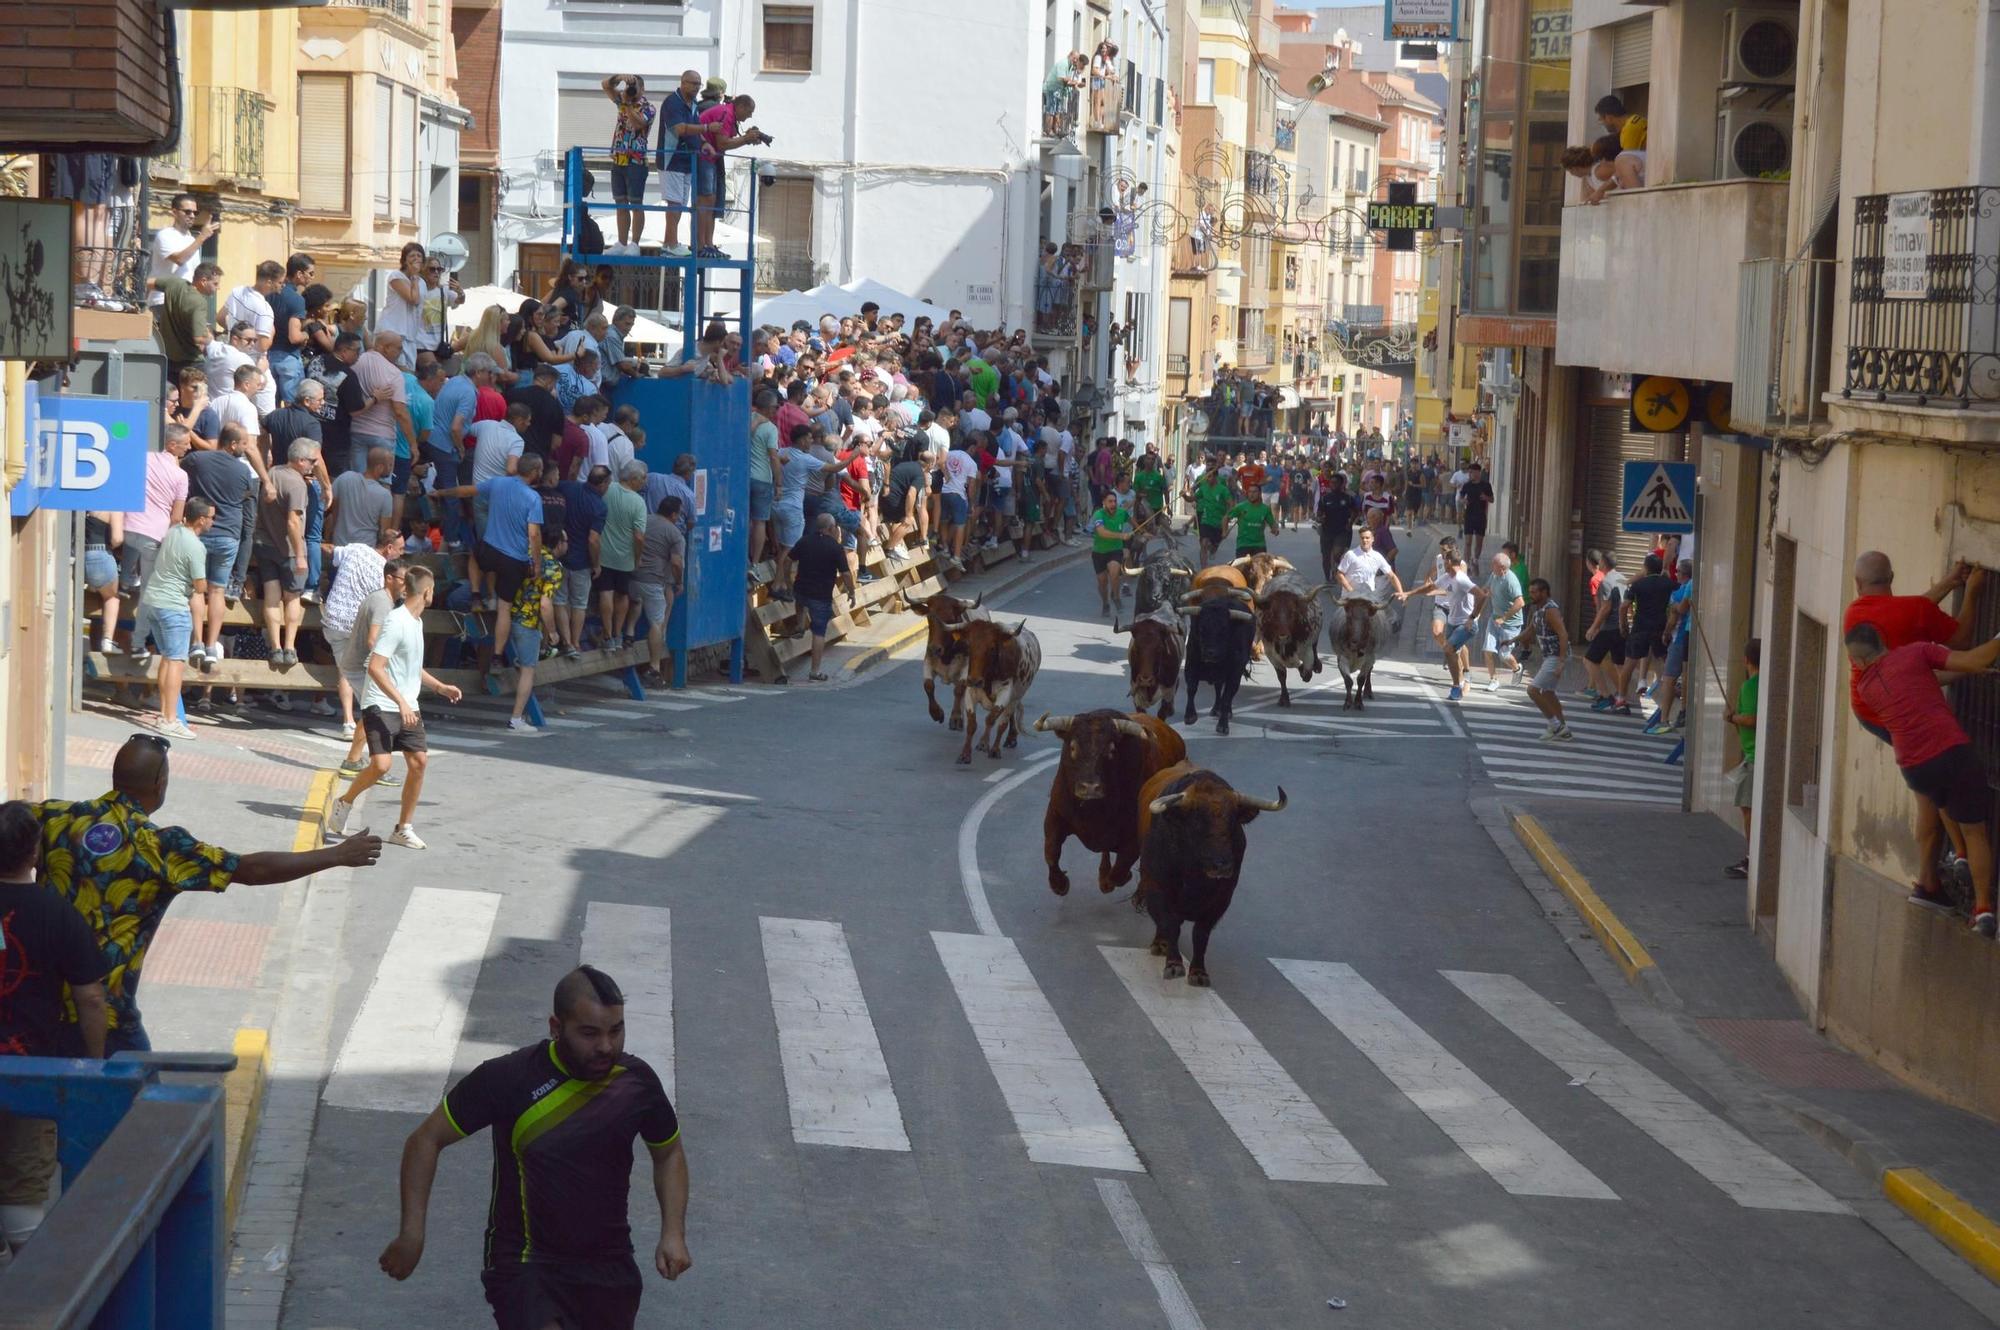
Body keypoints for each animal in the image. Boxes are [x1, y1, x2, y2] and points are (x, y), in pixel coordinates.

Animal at [1032, 704, 1184, 892]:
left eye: (1111, 751)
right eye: (1073, 748)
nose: (1090, 788)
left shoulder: (1133, 839)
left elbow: (1118, 873)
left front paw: (1112, 880)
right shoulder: (1055, 815)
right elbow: (1051, 851)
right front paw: (1059, 884)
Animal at [1136, 764, 1288, 980]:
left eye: (1232, 821)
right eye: (1196, 821)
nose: (1222, 865)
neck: (1196, 875)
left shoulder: (1221, 899)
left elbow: (1201, 934)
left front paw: (1199, 972)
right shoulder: (1158, 887)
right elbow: (1170, 924)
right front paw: (1173, 964)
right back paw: (1160, 944)